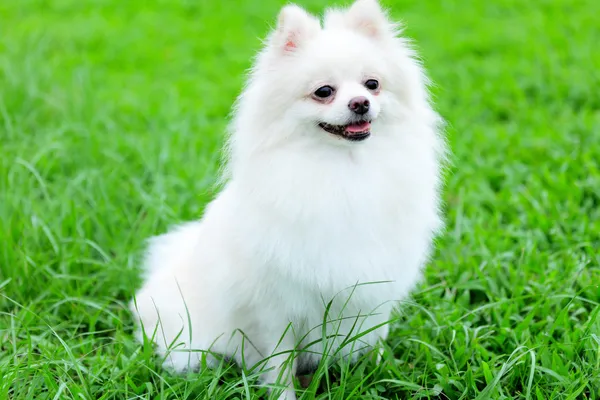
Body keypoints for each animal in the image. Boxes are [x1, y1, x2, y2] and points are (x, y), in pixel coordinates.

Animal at [134, 0, 448, 398]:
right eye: (324, 91)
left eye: (373, 84)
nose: (361, 102)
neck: (344, 169)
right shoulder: (277, 307)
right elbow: (281, 363)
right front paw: (285, 394)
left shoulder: (375, 292)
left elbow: (376, 339)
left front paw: (378, 376)